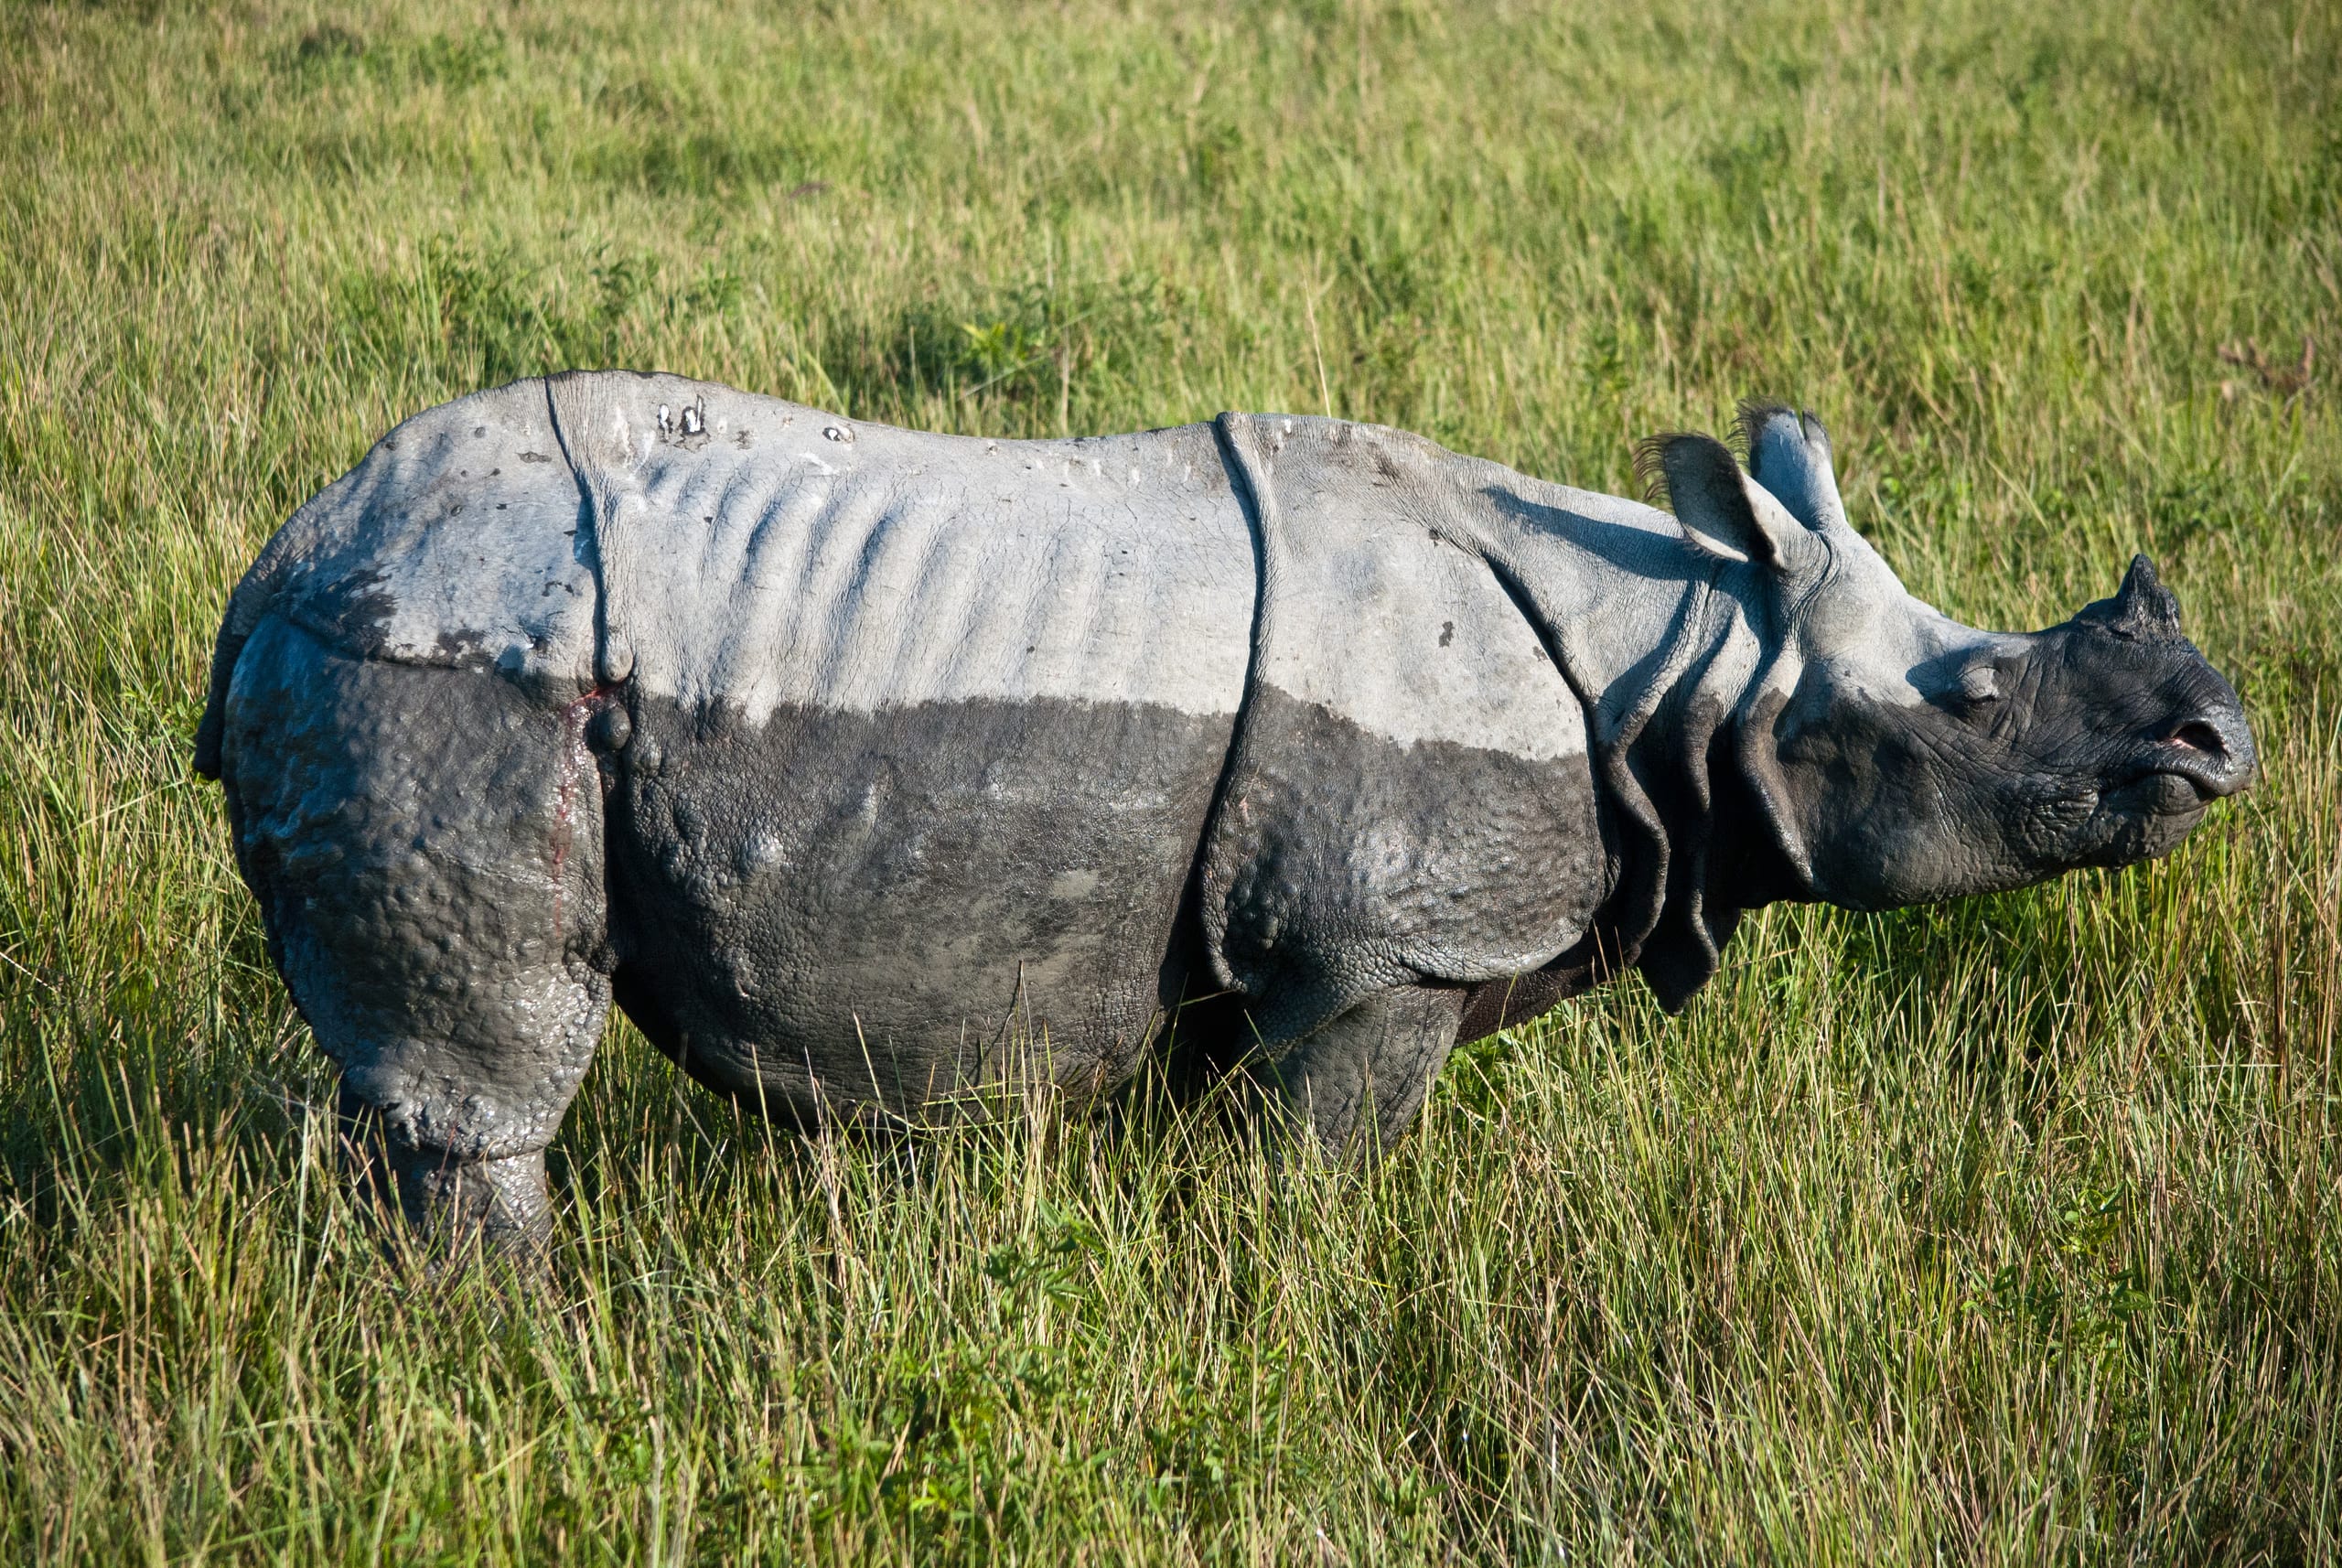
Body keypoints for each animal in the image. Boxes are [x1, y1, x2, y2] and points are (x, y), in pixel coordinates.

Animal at [196, 373, 2255, 1251]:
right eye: (1970, 702)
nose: (2217, 740)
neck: (1685, 653)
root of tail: (266, 571)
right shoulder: (1382, 946)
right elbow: (1314, 1180)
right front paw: (1294, 1313)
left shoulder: (1255, 947)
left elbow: (1221, 1136)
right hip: (441, 668)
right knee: (483, 1077)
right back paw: (527, 1340)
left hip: (407, 644)